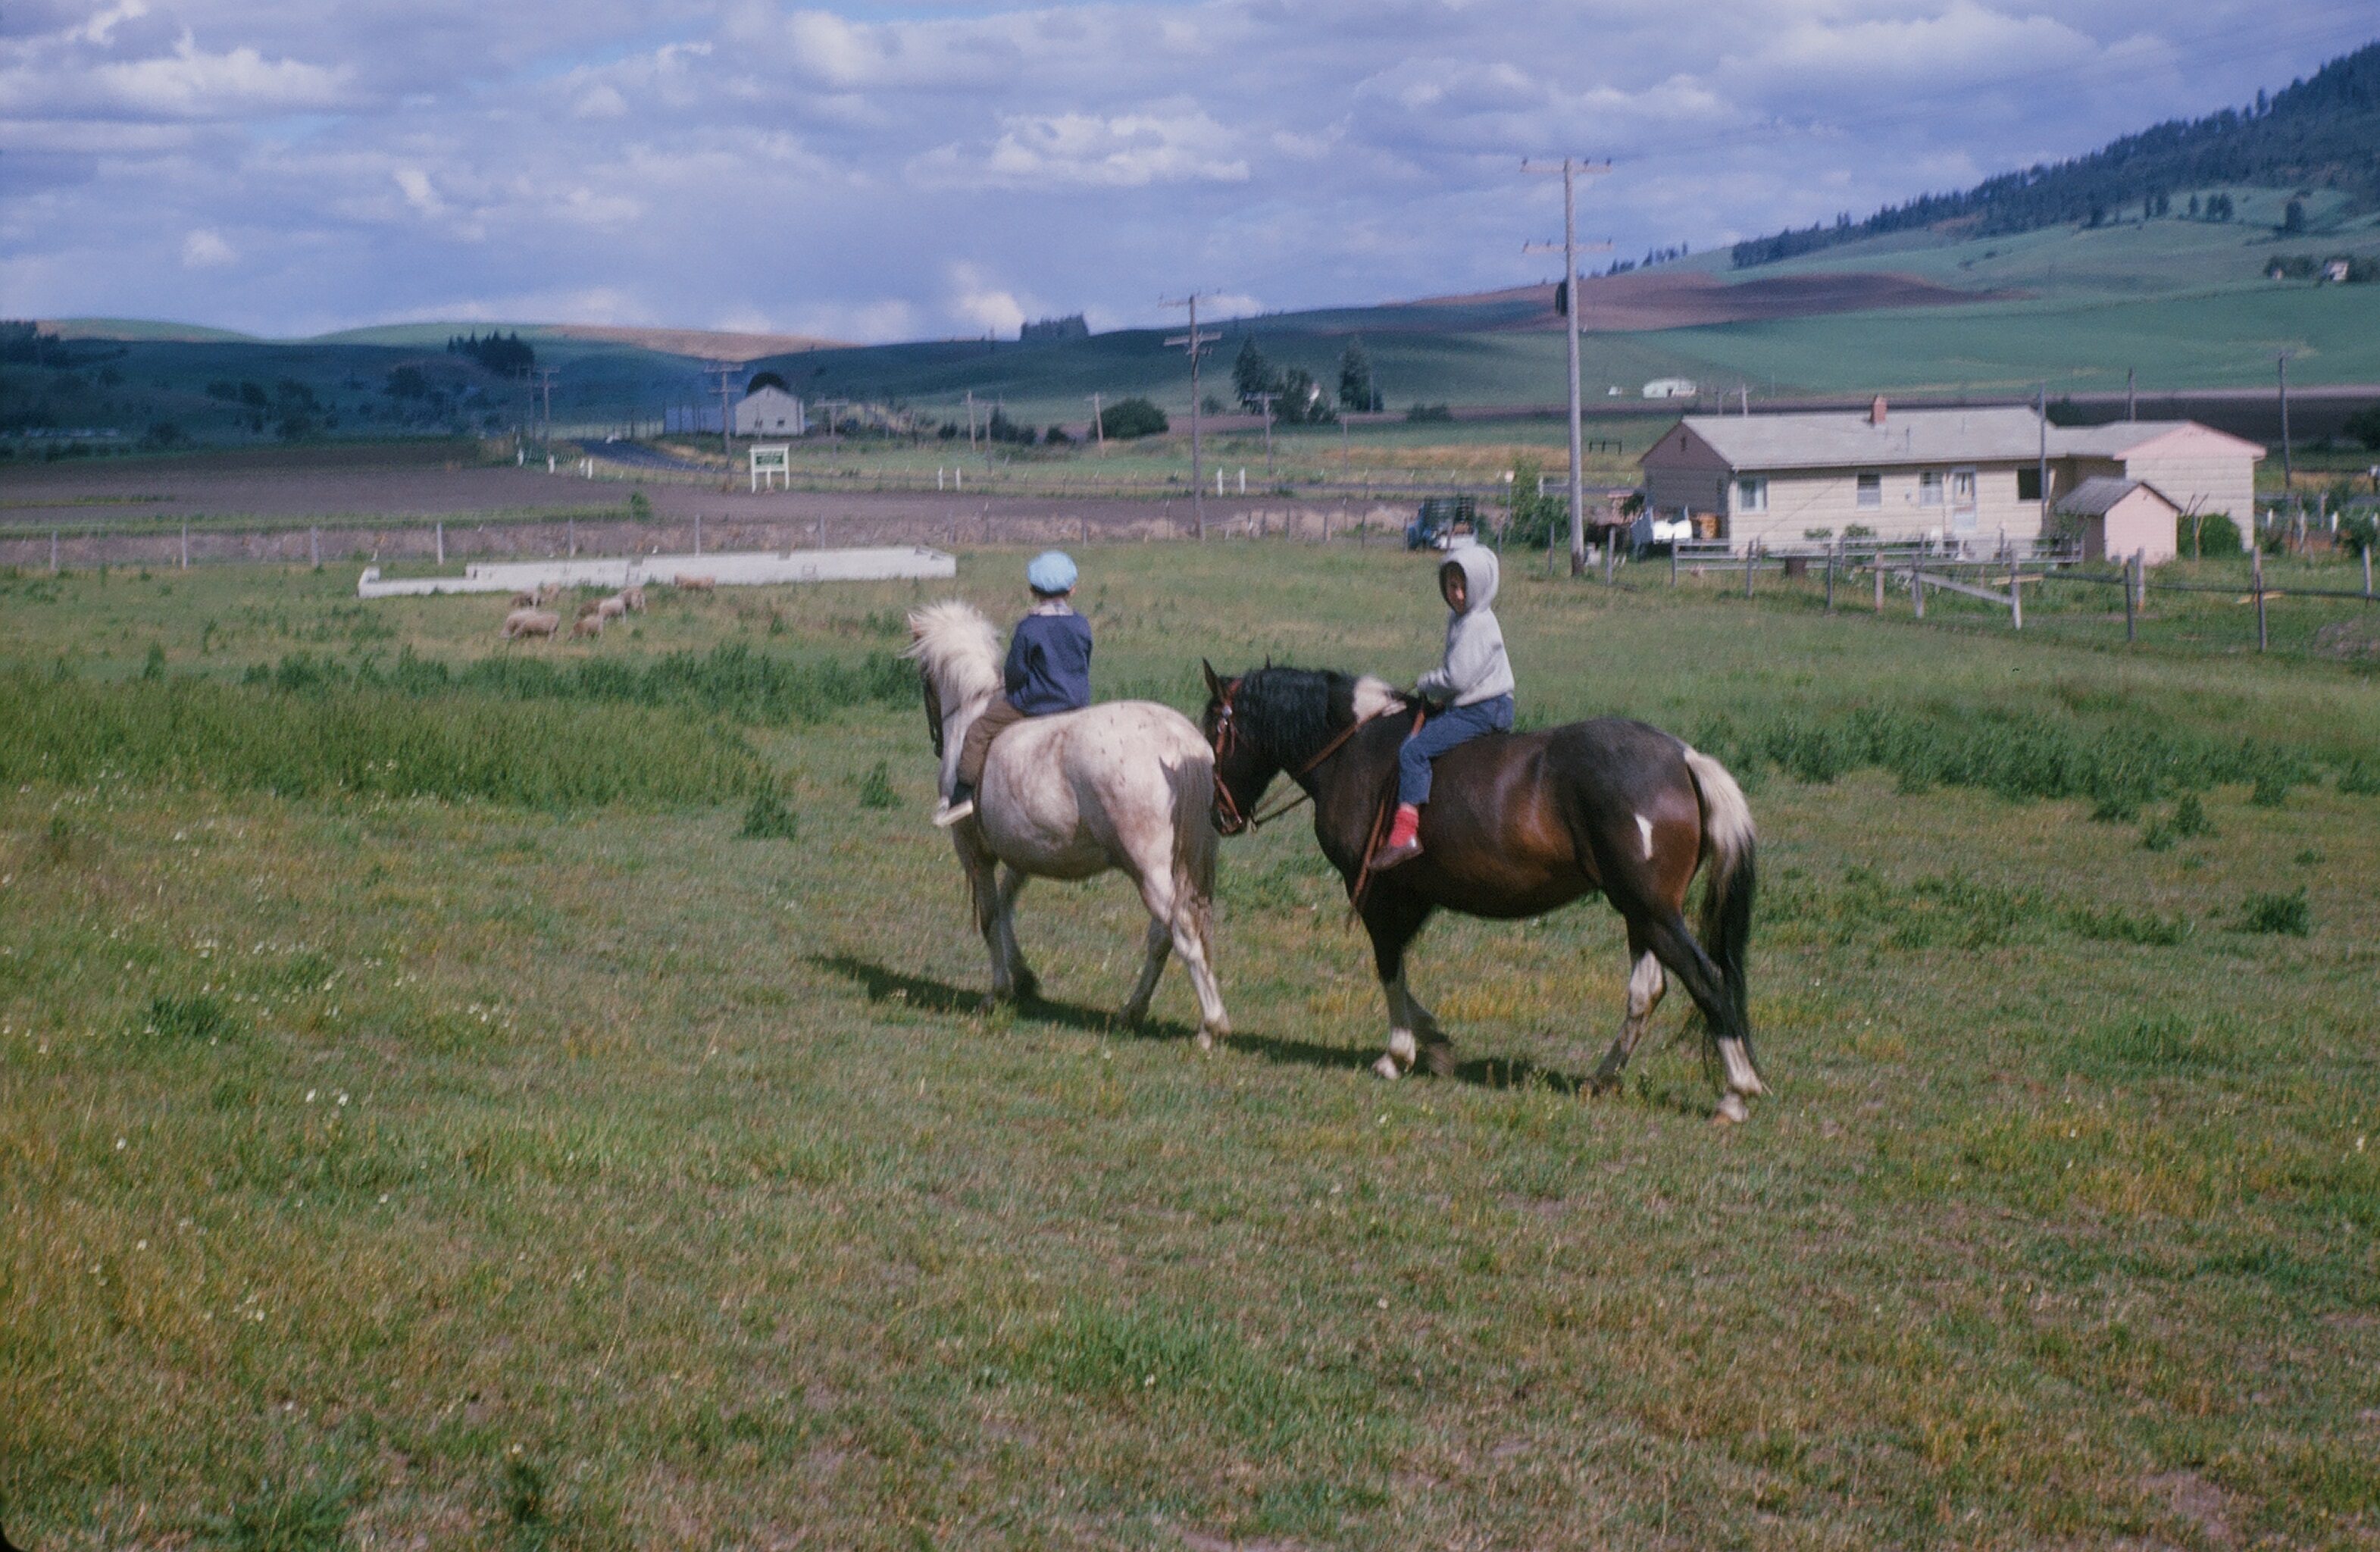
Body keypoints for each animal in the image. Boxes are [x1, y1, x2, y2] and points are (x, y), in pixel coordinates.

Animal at [905, 602, 1230, 1043]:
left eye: (925, 678)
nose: (938, 741)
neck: (973, 710)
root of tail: (1182, 742)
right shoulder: (1022, 854)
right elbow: (1005, 908)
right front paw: (1024, 979)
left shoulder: (974, 853)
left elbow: (990, 916)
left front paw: (998, 991)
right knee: (1163, 937)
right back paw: (1135, 1012)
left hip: (1149, 872)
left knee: (1181, 933)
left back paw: (1210, 1025)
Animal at [1201, 664, 1767, 1122]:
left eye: (1214, 732)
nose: (1219, 816)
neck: (1355, 750)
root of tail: (1685, 759)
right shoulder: (1413, 896)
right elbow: (1399, 971)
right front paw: (1434, 1042)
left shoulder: (1377, 895)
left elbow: (1388, 968)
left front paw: (1399, 1053)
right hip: (1640, 913)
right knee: (1647, 991)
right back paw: (1603, 1077)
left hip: (1652, 911)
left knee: (1708, 981)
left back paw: (1735, 1093)